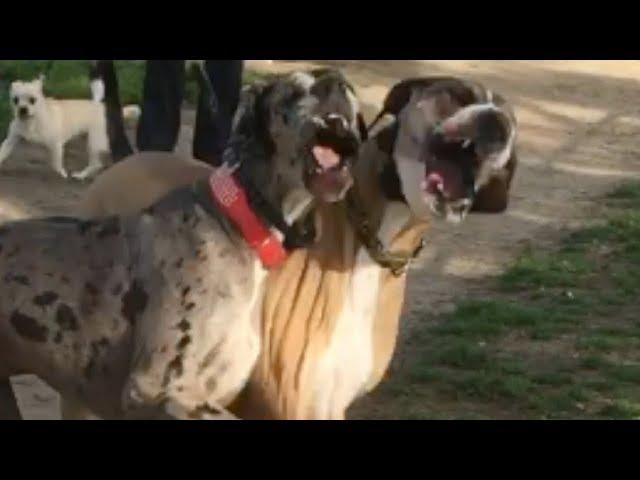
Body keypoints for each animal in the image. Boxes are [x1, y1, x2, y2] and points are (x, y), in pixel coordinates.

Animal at [0, 75, 139, 180]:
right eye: (15, 100)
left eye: (32, 100)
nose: (22, 109)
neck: (31, 121)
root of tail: (108, 110)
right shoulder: (11, 140)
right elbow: (2, 152)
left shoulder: (56, 145)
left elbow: (56, 164)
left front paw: (62, 173)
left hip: (94, 142)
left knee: (96, 164)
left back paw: (81, 175)